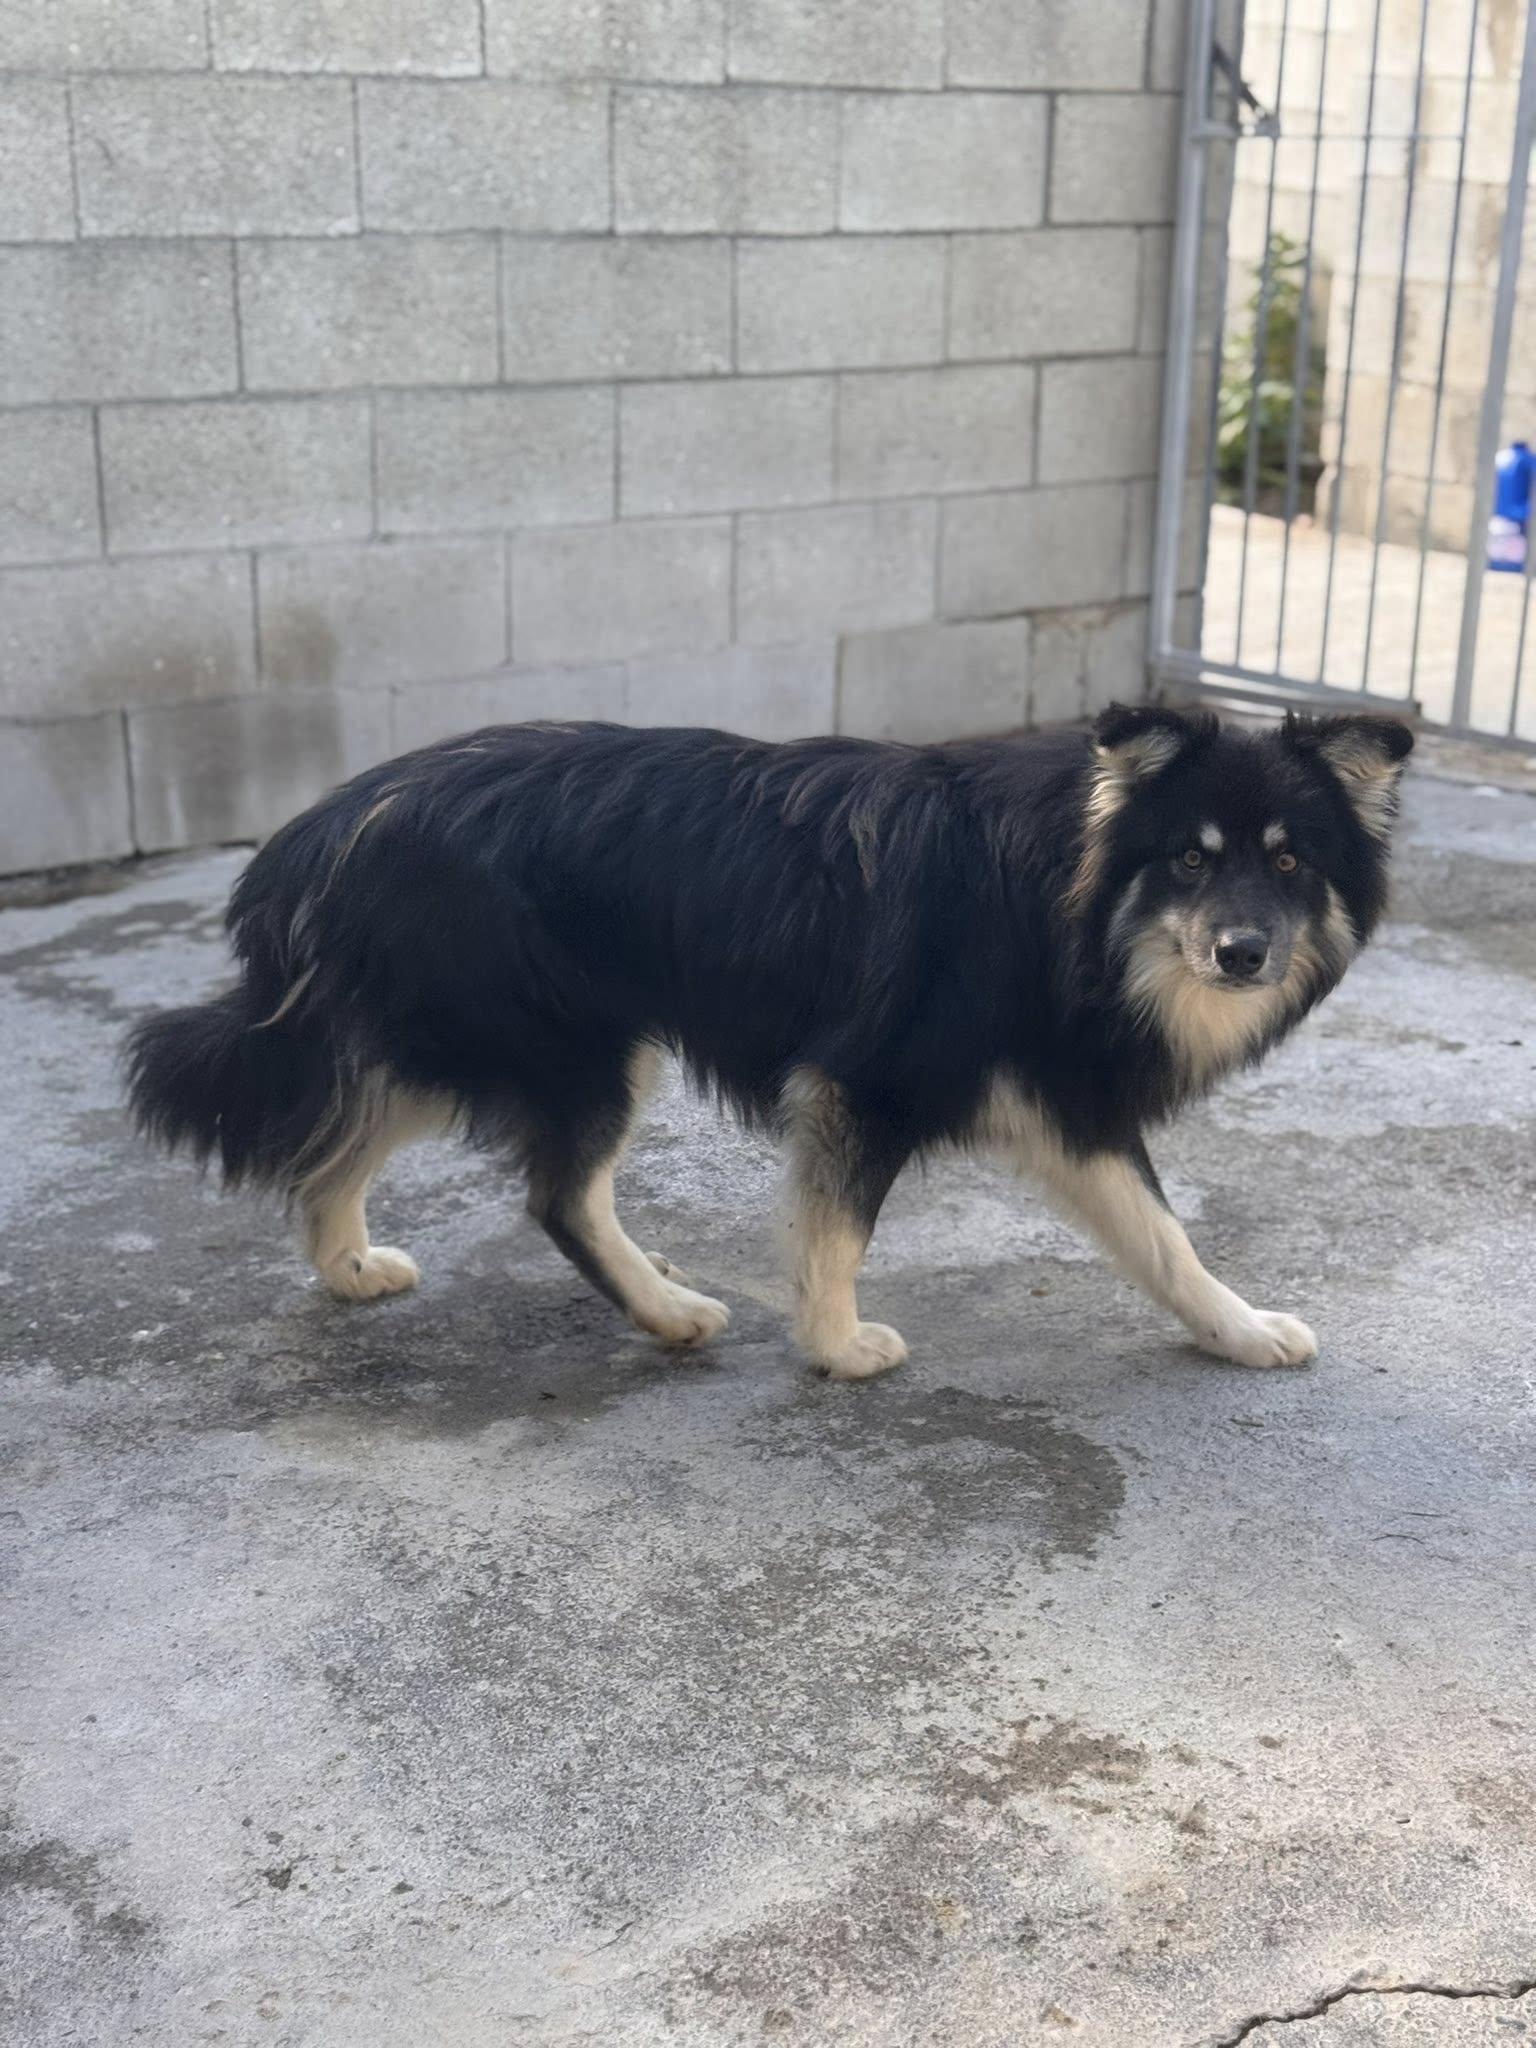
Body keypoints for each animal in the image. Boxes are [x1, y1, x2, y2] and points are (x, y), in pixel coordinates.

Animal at [127, 702, 1413, 1380]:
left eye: (1289, 860)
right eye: (1190, 857)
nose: (1243, 953)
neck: (1065, 895)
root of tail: (329, 822)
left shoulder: (1064, 1103)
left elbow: (1164, 1240)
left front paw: (1240, 1329)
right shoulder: (869, 1078)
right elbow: (836, 1231)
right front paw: (838, 1345)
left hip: (460, 1032)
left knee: (333, 1144)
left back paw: (347, 1264)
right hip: (572, 1044)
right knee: (554, 1195)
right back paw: (666, 1309)